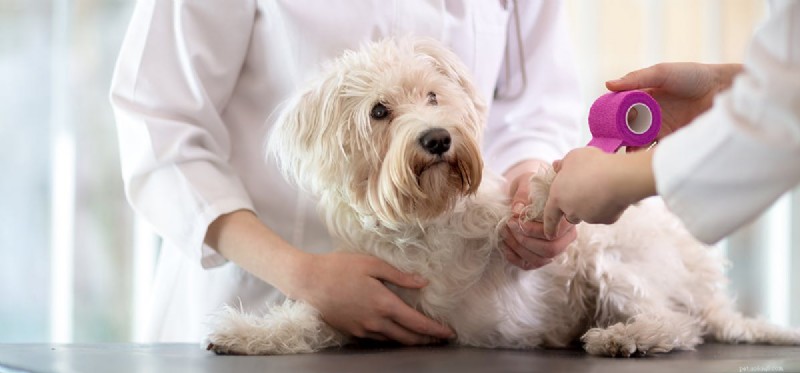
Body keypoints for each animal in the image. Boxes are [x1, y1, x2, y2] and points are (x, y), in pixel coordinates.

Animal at [206, 37, 800, 354]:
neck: (424, 220)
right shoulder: (370, 304)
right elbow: (307, 322)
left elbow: (520, 222)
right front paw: (245, 333)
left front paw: (545, 188)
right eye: (379, 111)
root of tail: (707, 287)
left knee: (680, 324)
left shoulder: (525, 251)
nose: (437, 139)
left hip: (614, 262)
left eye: (432, 95)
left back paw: (623, 336)